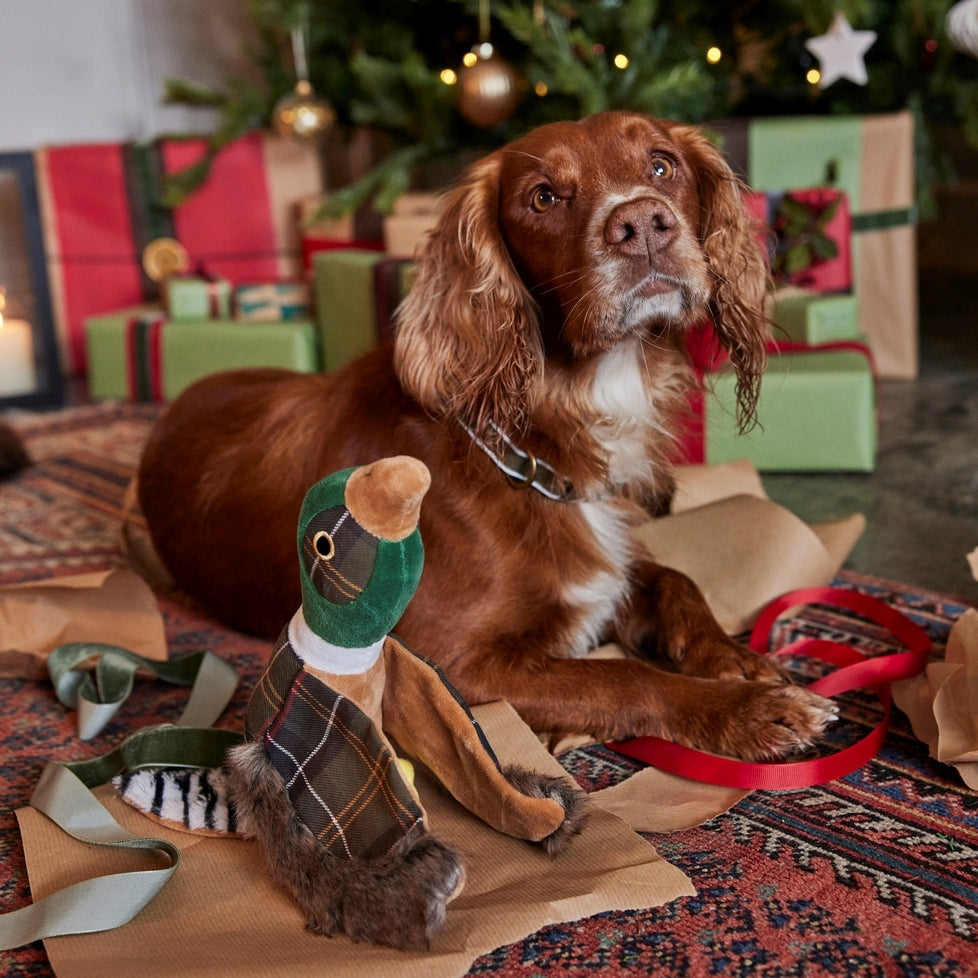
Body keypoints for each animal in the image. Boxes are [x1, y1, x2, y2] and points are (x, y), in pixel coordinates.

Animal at [141, 110, 836, 760]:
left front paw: (736, 661)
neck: (537, 440)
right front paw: (749, 711)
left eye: (662, 165)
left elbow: (675, 580)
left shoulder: (612, 554)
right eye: (543, 197)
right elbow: (624, 678)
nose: (642, 223)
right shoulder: (444, 664)